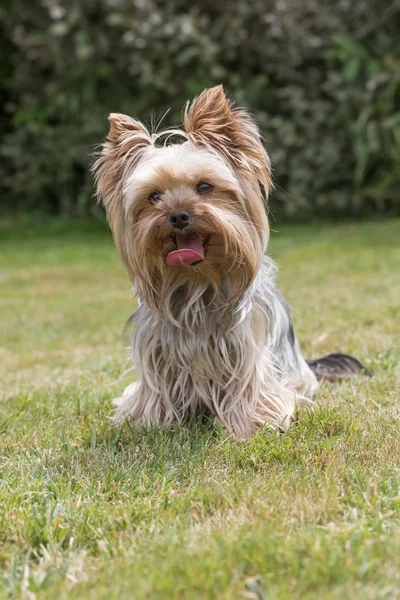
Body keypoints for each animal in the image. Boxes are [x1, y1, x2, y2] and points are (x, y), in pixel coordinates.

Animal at [92, 84, 370, 438]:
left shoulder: (246, 348)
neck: (197, 280)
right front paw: (149, 423)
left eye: (204, 186)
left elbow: (249, 386)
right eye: (153, 196)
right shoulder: (157, 351)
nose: (178, 215)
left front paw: (247, 426)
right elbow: (155, 389)